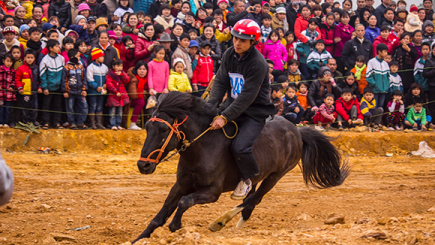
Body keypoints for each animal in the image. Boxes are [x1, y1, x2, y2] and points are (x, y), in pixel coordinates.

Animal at [133, 91, 350, 243]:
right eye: (147, 127)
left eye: (163, 129)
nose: (143, 165)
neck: (203, 146)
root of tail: (296, 131)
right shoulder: (180, 185)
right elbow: (160, 215)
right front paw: (138, 239)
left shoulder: (212, 192)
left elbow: (184, 202)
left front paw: (175, 224)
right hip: (255, 177)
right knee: (249, 198)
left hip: (275, 176)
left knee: (252, 201)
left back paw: (220, 222)